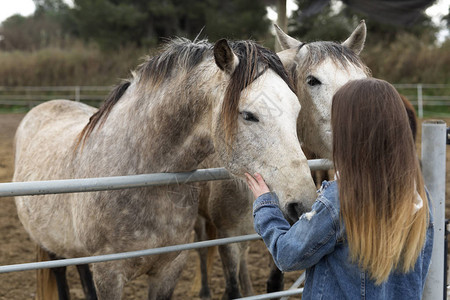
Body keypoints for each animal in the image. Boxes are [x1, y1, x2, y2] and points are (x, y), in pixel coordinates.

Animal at [13, 38, 316, 300]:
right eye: (249, 115)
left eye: (296, 111)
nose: (304, 204)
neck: (140, 176)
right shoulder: (109, 273)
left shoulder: (169, 269)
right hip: (48, 244)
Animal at [195, 20, 370, 298]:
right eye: (312, 81)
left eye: (361, 80)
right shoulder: (227, 236)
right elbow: (231, 288)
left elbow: (274, 283)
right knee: (202, 251)